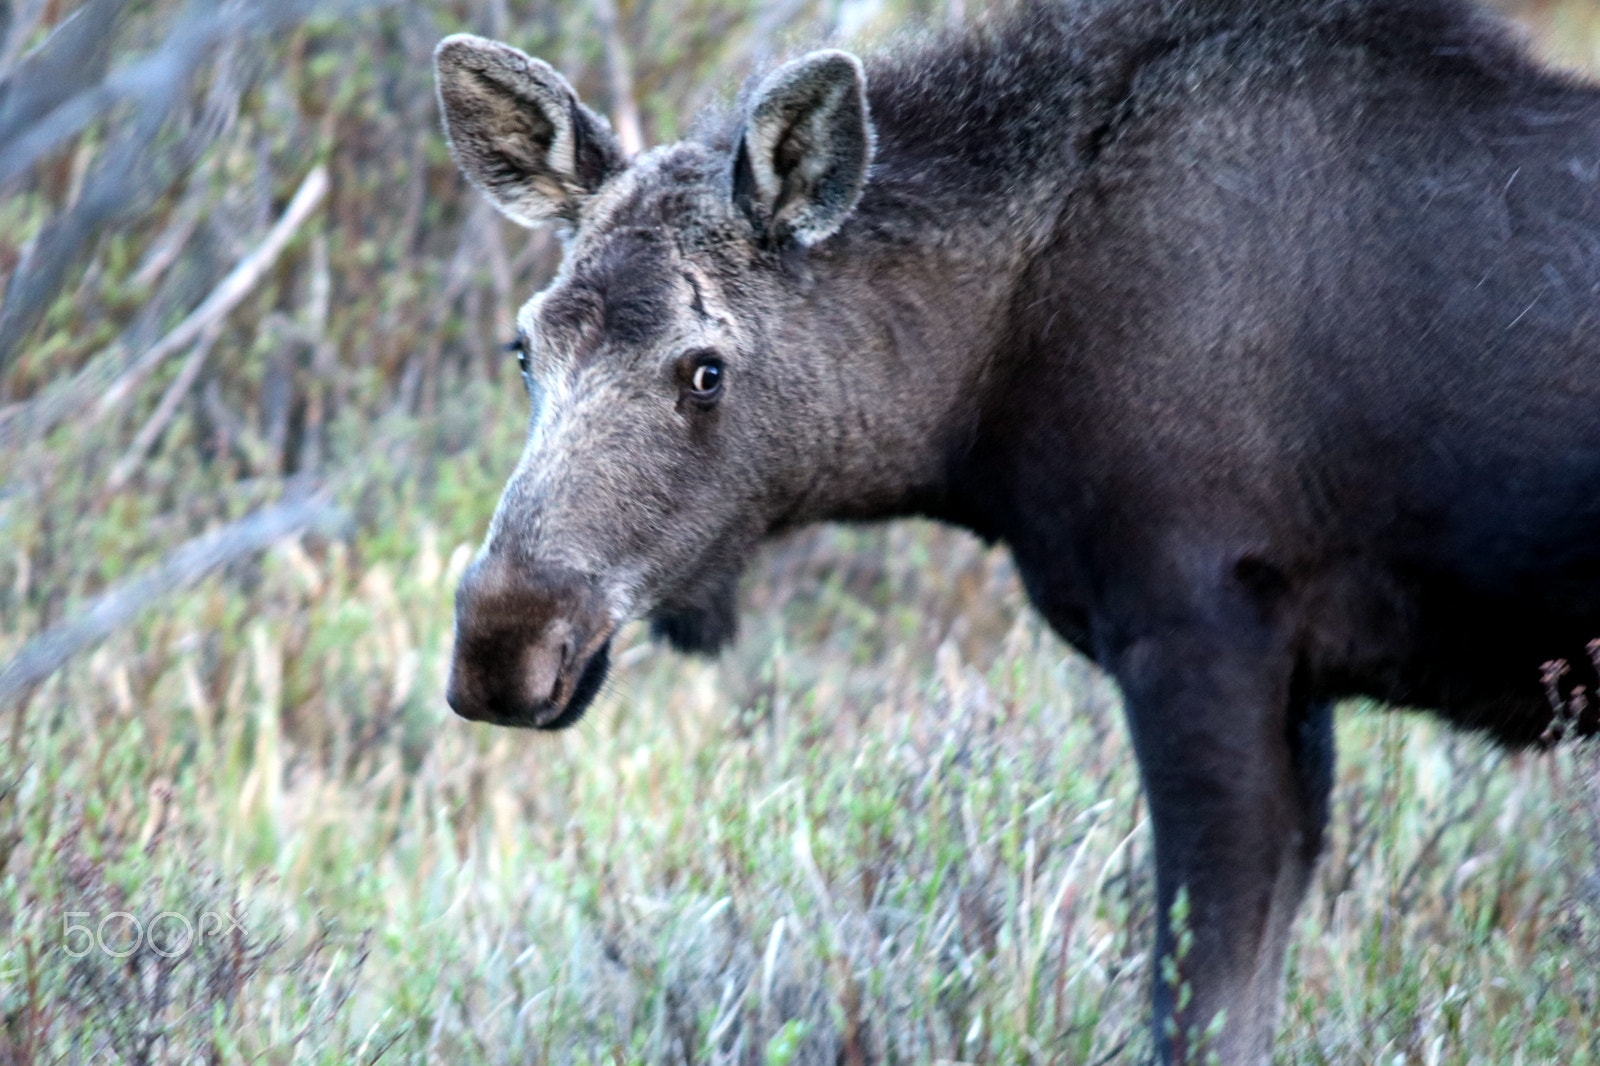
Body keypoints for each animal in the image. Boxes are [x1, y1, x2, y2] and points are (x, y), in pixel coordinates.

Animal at [432, 2, 1600, 1056]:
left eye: (705, 370)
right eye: (525, 348)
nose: (503, 642)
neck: (977, 407)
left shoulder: (1198, 633)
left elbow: (1198, 1012)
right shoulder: (1298, 686)